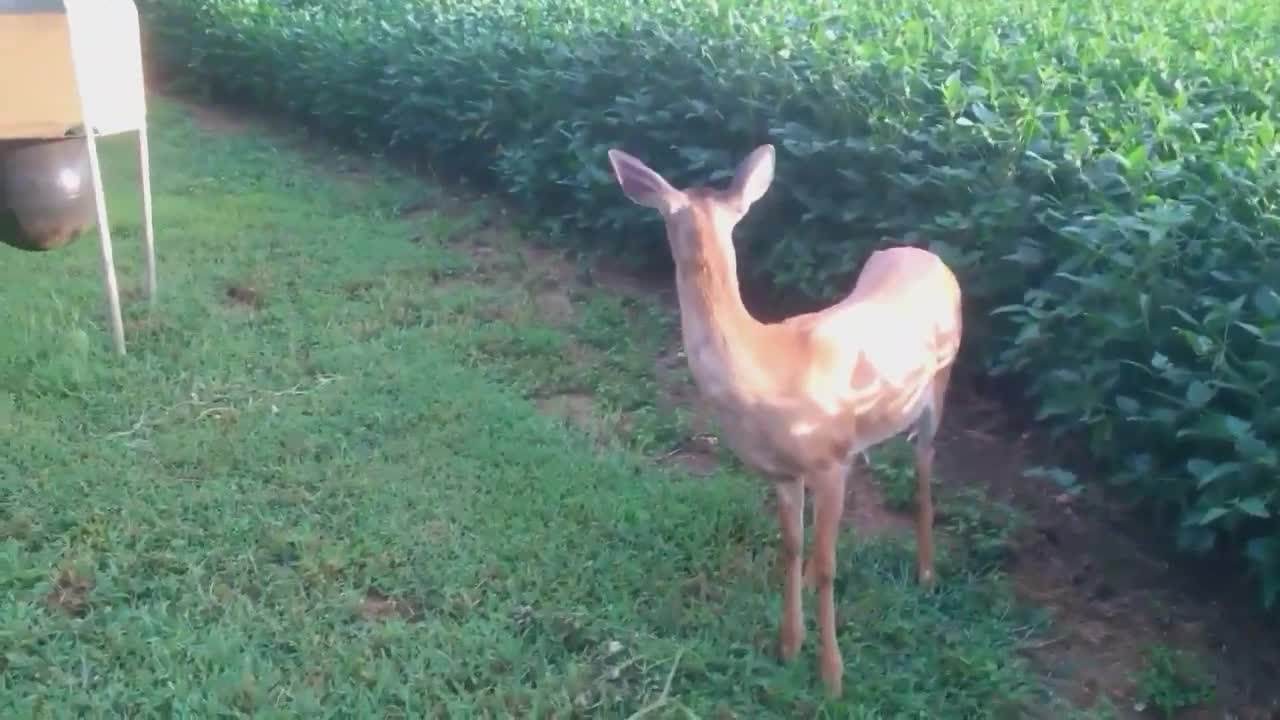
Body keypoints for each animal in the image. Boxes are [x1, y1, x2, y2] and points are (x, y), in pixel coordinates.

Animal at [606, 141, 962, 696]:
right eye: (673, 214)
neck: (766, 372)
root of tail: (930, 257)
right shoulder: (781, 472)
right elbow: (790, 547)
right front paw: (788, 646)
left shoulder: (832, 462)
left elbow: (828, 566)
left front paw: (832, 675)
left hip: (939, 387)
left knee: (925, 466)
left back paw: (927, 573)